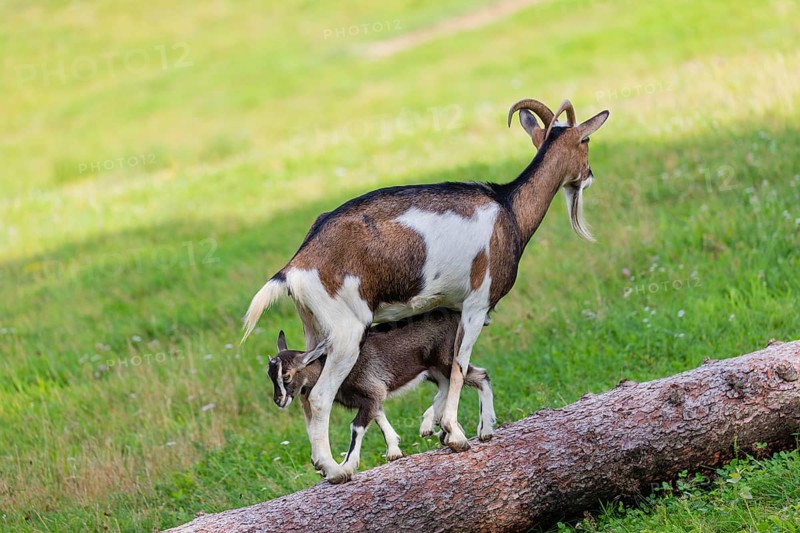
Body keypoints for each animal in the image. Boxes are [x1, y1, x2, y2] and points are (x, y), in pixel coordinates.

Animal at [267, 309, 494, 477]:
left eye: (286, 375)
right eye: (270, 375)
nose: (278, 400)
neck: (328, 368)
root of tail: (459, 317)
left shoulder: (371, 391)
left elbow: (357, 426)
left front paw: (346, 466)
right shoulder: (371, 396)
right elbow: (379, 417)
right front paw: (394, 451)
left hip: (447, 359)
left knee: (474, 376)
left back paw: (475, 430)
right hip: (434, 369)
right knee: (455, 383)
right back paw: (442, 427)